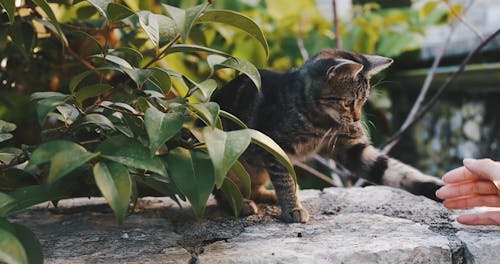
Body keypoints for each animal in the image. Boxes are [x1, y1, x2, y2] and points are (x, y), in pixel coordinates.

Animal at [211, 48, 442, 223]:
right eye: (348, 102)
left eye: (363, 101)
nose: (357, 119)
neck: (321, 122)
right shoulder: (275, 147)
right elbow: (285, 180)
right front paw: (292, 208)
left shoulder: (352, 148)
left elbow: (396, 171)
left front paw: (437, 188)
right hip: (227, 160)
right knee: (222, 190)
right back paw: (242, 204)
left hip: (257, 172)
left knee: (254, 187)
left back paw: (269, 195)